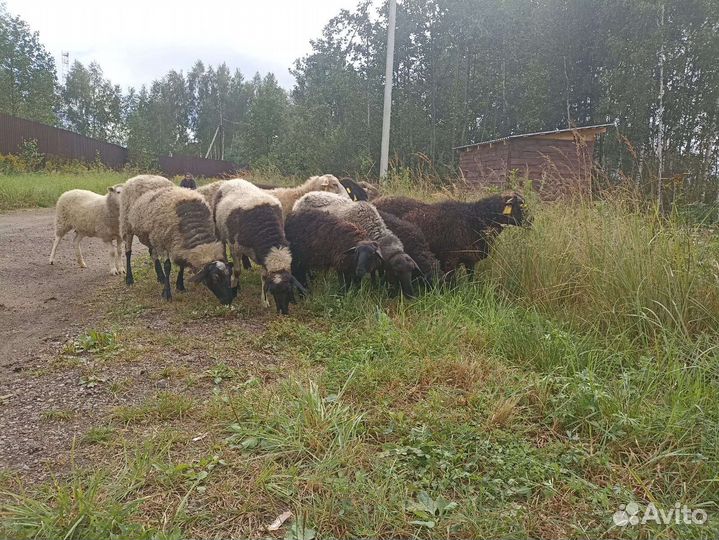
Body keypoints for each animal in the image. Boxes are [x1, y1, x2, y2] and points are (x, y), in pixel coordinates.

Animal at [214, 179, 305, 315]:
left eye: (289, 290)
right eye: (273, 291)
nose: (283, 312)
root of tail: (234, 180)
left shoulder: (262, 255)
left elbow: (264, 277)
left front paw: (264, 301)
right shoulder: (235, 246)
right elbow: (237, 271)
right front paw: (234, 288)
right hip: (221, 230)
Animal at [375, 193, 527, 278]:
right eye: (519, 206)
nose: (530, 221)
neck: (474, 218)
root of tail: (377, 200)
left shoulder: (470, 259)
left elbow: (471, 279)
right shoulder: (450, 259)